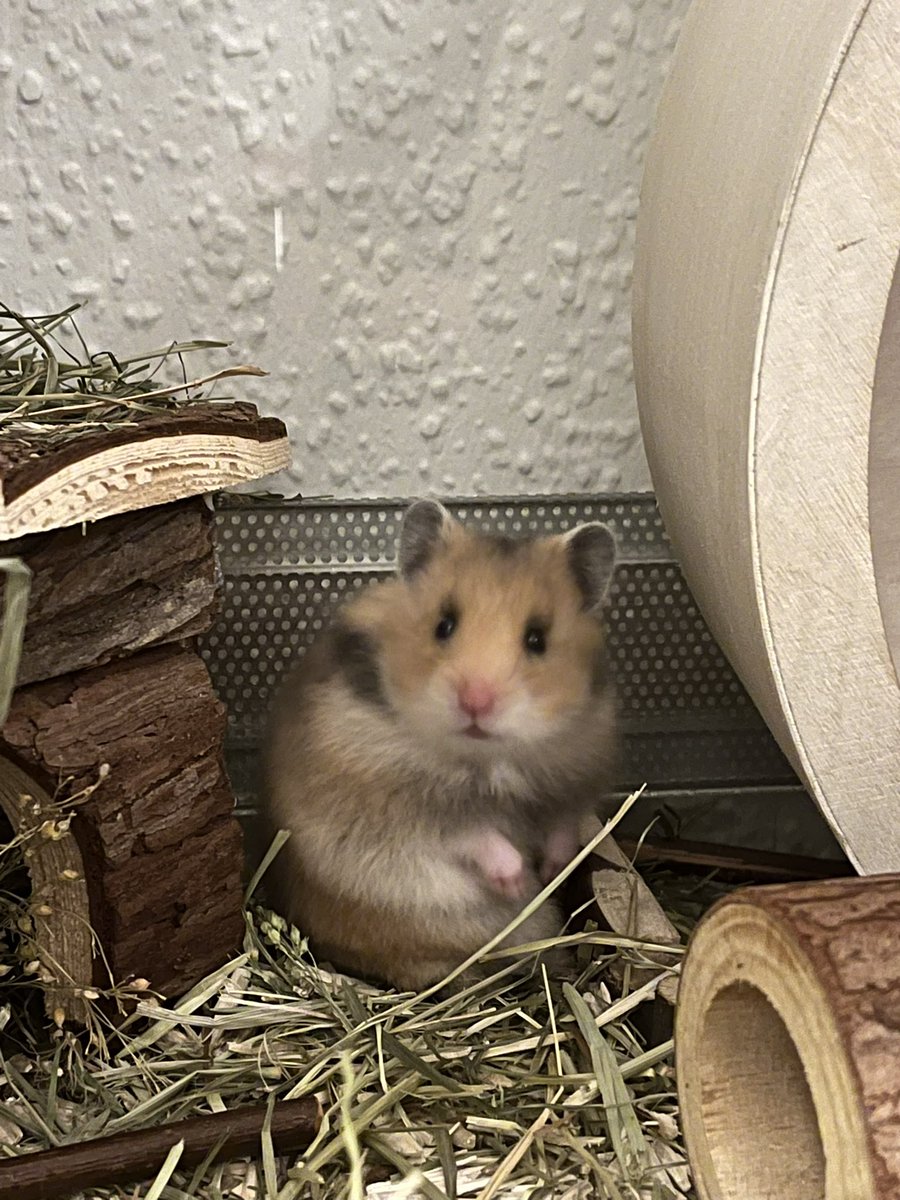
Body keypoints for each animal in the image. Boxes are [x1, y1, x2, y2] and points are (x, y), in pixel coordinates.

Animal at [261, 499, 618, 991]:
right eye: (444, 625)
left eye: (537, 638)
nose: (476, 702)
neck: (488, 759)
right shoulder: (402, 806)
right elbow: (472, 834)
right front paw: (516, 881)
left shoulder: (575, 776)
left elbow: (564, 824)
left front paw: (551, 870)